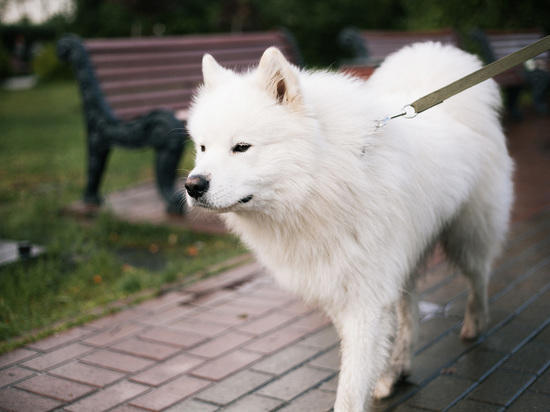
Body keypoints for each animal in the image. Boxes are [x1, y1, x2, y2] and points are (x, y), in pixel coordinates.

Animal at [185, 43, 516, 410]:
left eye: (241, 147)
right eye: (202, 147)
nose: (192, 185)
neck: (322, 181)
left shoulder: (366, 298)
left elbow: (352, 382)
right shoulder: (345, 285)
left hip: (467, 236)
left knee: (479, 276)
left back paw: (474, 323)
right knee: (411, 313)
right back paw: (397, 370)